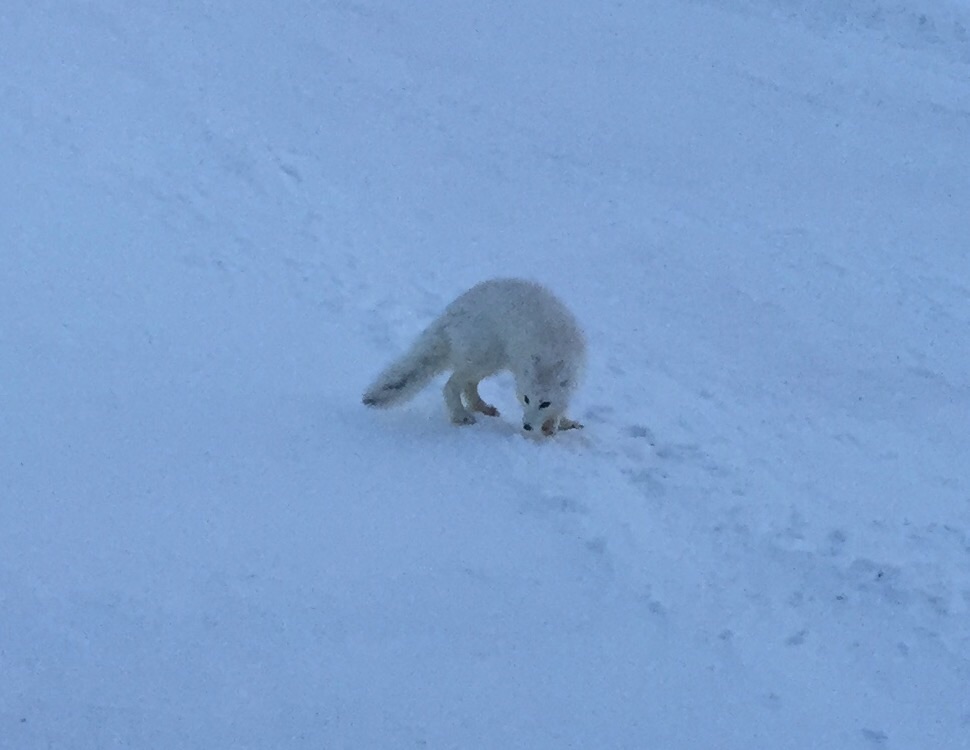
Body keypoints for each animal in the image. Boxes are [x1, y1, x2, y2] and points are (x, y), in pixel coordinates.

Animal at [362, 278, 586, 436]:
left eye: (544, 403)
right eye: (526, 399)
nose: (528, 427)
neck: (553, 348)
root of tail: (451, 312)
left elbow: (564, 403)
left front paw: (560, 423)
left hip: (488, 362)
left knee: (469, 386)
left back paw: (483, 408)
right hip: (485, 358)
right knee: (451, 385)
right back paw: (461, 416)